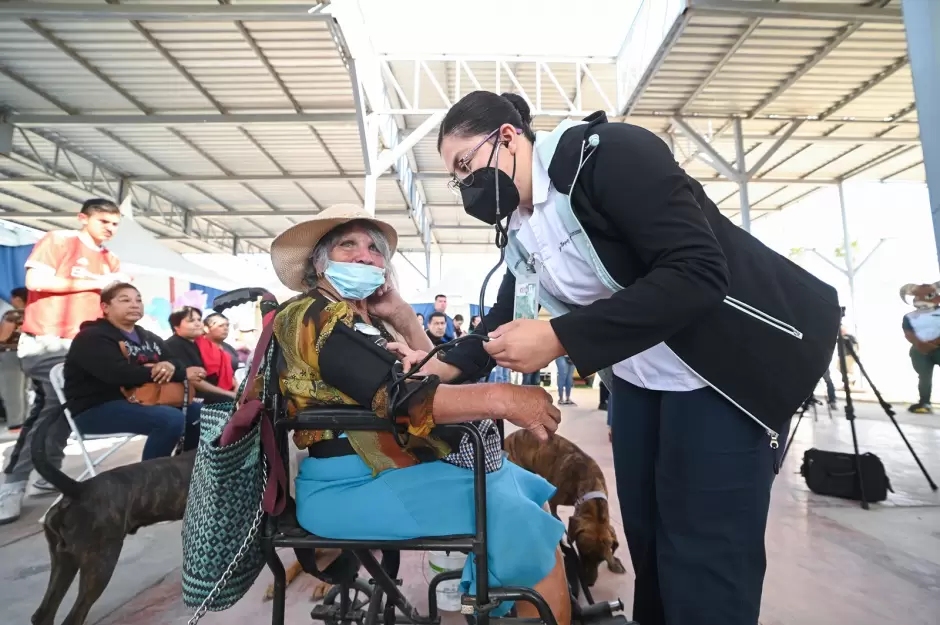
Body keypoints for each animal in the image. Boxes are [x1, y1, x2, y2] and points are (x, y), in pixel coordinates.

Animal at [504, 428, 628, 584]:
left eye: (601, 560)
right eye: (582, 552)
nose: (589, 583)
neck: (589, 482)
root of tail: (508, 438)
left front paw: (614, 562)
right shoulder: (554, 503)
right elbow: (558, 520)